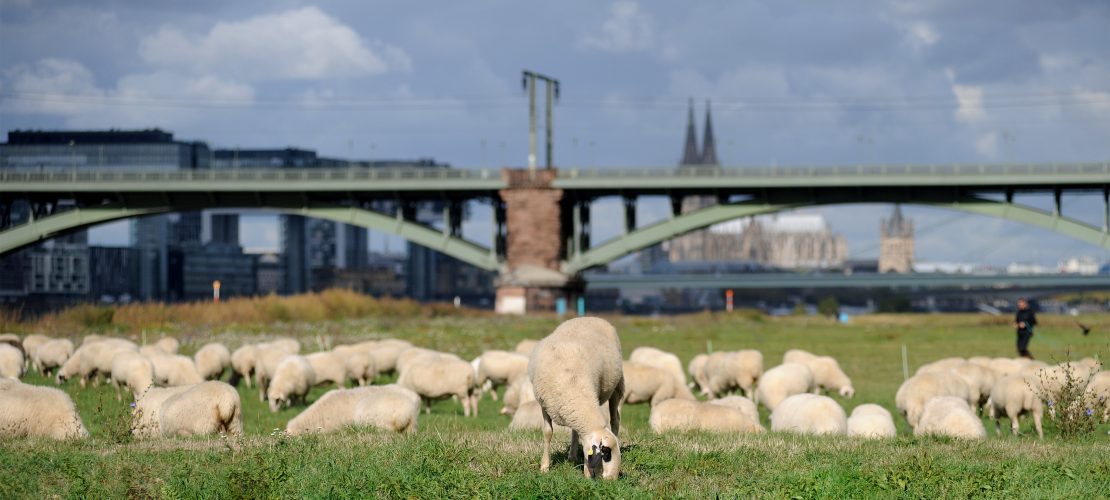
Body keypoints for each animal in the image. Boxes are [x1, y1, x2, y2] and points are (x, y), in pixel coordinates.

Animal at [529, 317, 624, 480]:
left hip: (616, 386)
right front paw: (545, 466)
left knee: (615, 420)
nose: (612, 480)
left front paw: (586, 473)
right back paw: (572, 456)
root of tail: (591, 317)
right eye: (606, 453)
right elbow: (548, 432)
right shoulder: (544, 404)